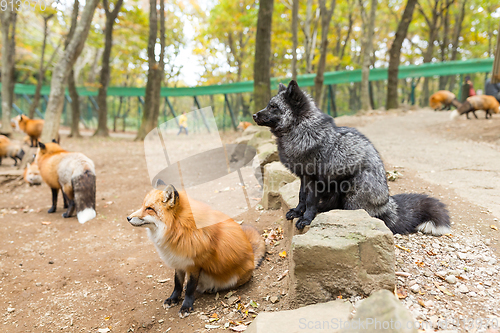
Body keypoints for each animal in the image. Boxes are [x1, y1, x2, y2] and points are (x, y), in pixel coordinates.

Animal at [127, 182, 266, 316]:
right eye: (143, 206)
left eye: (149, 209)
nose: (128, 218)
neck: (179, 230)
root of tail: (251, 256)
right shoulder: (178, 260)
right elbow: (177, 283)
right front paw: (173, 299)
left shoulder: (194, 264)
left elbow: (190, 287)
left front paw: (186, 306)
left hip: (235, 278)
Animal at [252, 80, 452, 235]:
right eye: (268, 104)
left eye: (273, 107)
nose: (254, 115)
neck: (301, 130)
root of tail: (386, 203)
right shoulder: (304, 176)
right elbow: (302, 197)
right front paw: (297, 212)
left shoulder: (315, 178)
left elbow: (309, 201)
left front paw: (306, 219)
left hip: (350, 193)